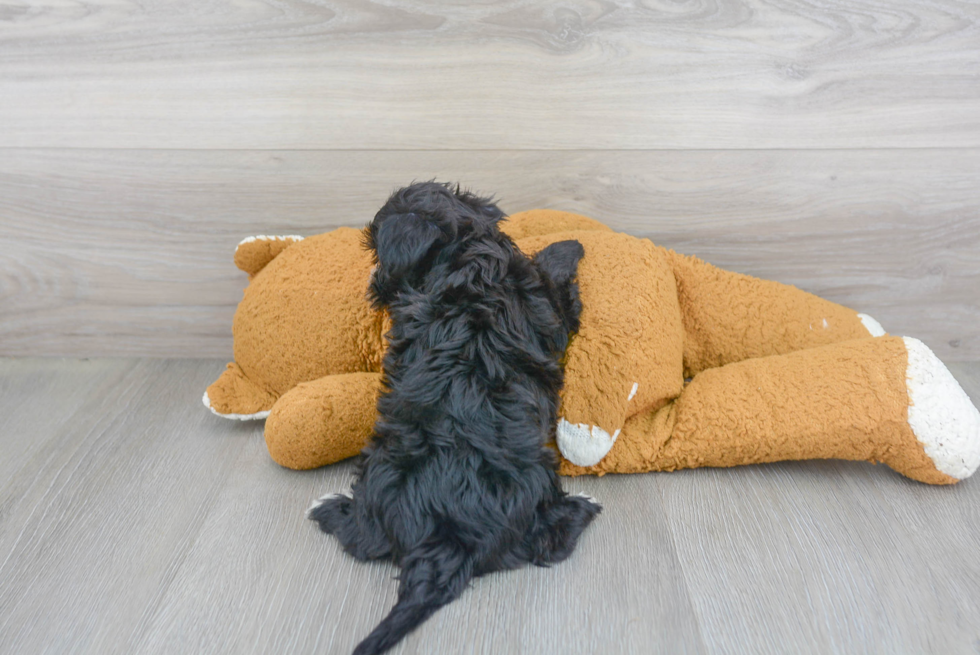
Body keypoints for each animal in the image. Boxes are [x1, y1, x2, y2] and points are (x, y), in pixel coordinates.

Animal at [308, 182, 596, 655]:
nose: (374, 285)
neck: (464, 252)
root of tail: (443, 537)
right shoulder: (551, 308)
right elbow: (556, 281)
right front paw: (569, 246)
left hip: (377, 472)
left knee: (363, 539)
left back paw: (329, 507)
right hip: (536, 481)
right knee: (550, 543)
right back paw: (582, 506)